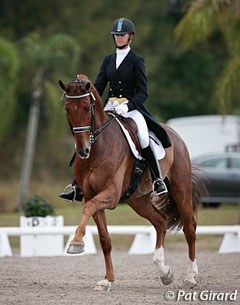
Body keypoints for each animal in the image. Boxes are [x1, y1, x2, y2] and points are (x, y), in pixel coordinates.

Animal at [58, 73, 204, 290]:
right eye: (67, 108)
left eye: (86, 107)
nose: (83, 150)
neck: (98, 148)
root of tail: (174, 134)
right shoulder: (92, 195)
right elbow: (104, 239)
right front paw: (108, 280)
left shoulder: (109, 196)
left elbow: (89, 208)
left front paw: (76, 243)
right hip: (138, 199)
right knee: (161, 222)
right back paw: (164, 272)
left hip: (181, 190)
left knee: (189, 229)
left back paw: (191, 276)